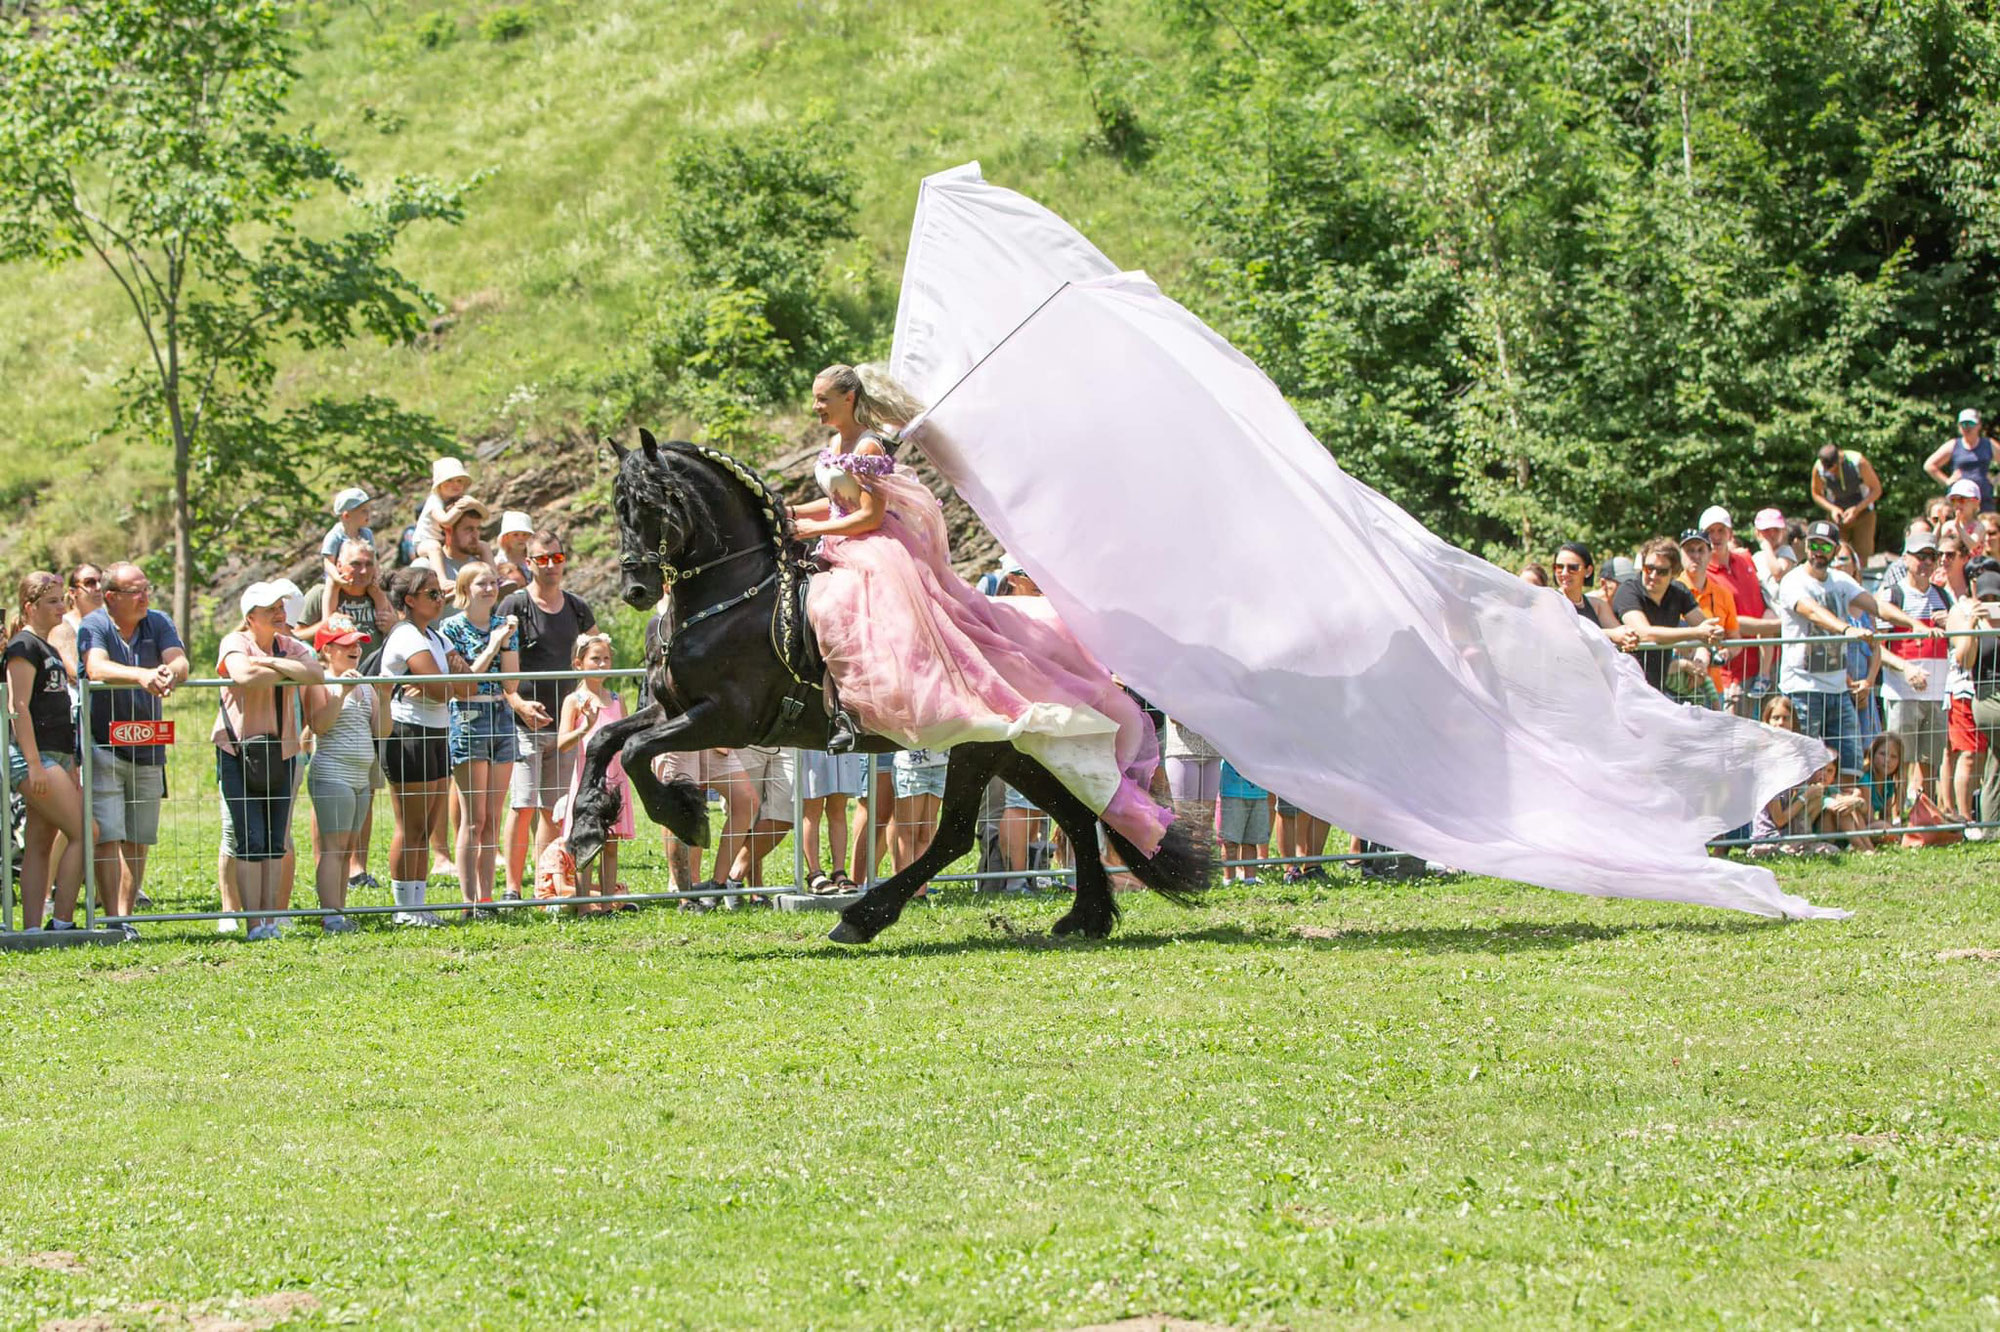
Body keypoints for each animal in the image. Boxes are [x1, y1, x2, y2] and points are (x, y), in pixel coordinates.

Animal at [568, 430, 1216, 940]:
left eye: (657, 502)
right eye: (618, 506)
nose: (635, 589)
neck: (729, 598)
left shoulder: (725, 716)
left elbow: (634, 752)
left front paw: (681, 816)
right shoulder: (673, 708)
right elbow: (606, 742)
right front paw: (587, 828)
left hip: (980, 748)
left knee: (959, 835)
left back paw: (864, 916)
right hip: (1014, 751)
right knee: (1072, 815)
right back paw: (1084, 917)